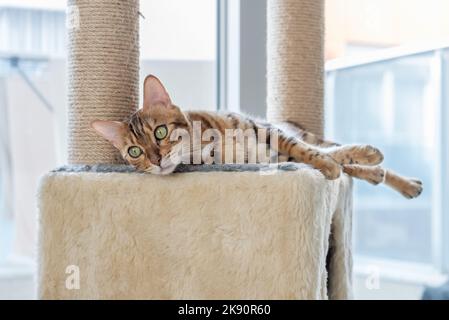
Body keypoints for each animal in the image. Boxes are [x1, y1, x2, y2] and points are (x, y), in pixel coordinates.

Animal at [92, 76, 424, 199]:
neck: (207, 146)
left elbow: (310, 151)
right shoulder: (269, 154)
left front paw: (340, 162)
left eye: (160, 132)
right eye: (135, 152)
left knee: (331, 146)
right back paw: (382, 175)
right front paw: (334, 167)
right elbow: (320, 157)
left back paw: (393, 174)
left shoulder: (266, 132)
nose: (157, 160)